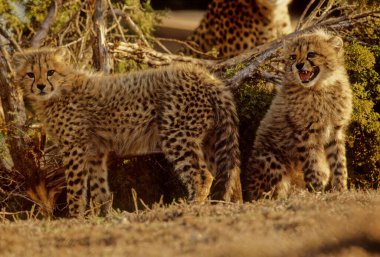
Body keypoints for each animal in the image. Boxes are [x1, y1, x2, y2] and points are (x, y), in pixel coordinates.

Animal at [13, 48, 242, 216]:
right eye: (30, 74)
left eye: (50, 72)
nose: (40, 86)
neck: (60, 89)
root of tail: (205, 76)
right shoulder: (95, 152)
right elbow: (99, 188)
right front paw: (102, 216)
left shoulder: (74, 148)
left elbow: (75, 189)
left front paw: (75, 217)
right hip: (210, 138)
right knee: (229, 172)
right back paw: (230, 204)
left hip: (177, 135)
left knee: (202, 174)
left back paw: (192, 205)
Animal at [245, 30, 352, 200]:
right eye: (293, 56)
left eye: (311, 54)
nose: (298, 65)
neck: (320, 88)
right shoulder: (305, 133)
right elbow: (312, 166)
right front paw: (317, 192)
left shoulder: (336, 131)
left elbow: (339, 163)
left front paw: (341, 190)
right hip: (271, 159)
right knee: (271, 193)